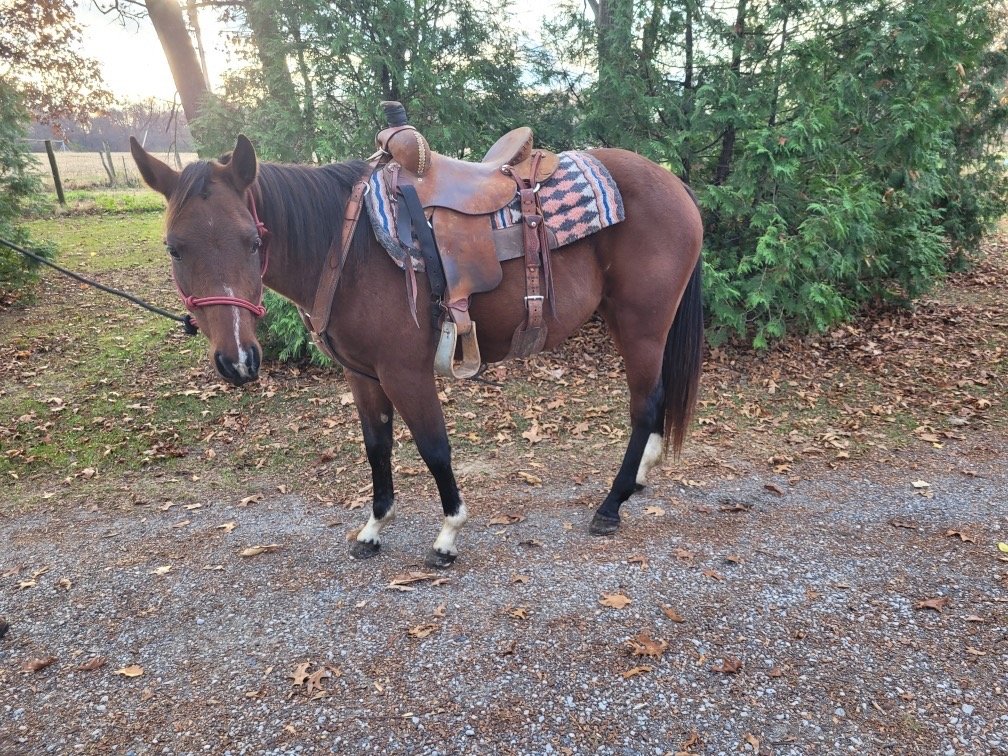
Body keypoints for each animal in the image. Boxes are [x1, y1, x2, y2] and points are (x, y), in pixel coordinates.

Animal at [129, 133, 704, 569]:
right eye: (174, 249)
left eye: (252, 241)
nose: (239, 362)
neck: (348, 246)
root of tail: (675, 185)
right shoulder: (363, 376)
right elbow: (377, 447)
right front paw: (373, 528)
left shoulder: (405, 372)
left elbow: (434, 448)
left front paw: (448, 535)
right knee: (654, 403)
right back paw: (639, 480)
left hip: (641, 325)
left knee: (644, 406)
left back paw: (611, 505)